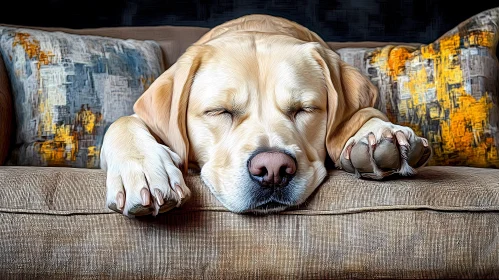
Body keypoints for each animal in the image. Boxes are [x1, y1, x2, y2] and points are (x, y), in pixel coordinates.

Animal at [99, 14, 432, 217]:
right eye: (220, 111)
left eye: (304, 109)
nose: (273, 169)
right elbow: (124, 121)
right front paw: (144, 169)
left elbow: (366, 113)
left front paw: (382, 134)